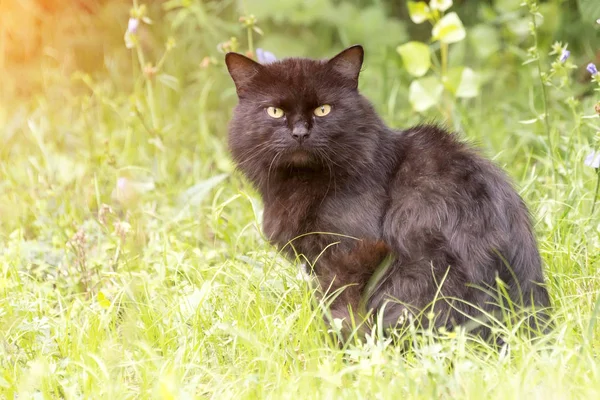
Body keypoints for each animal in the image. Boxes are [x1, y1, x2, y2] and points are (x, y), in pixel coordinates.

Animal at [224, 45, 548, 340]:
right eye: (275, 111)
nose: (301, 133)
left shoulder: (353, 251)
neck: (301, 183)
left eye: (323, 109)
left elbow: (343, 308)